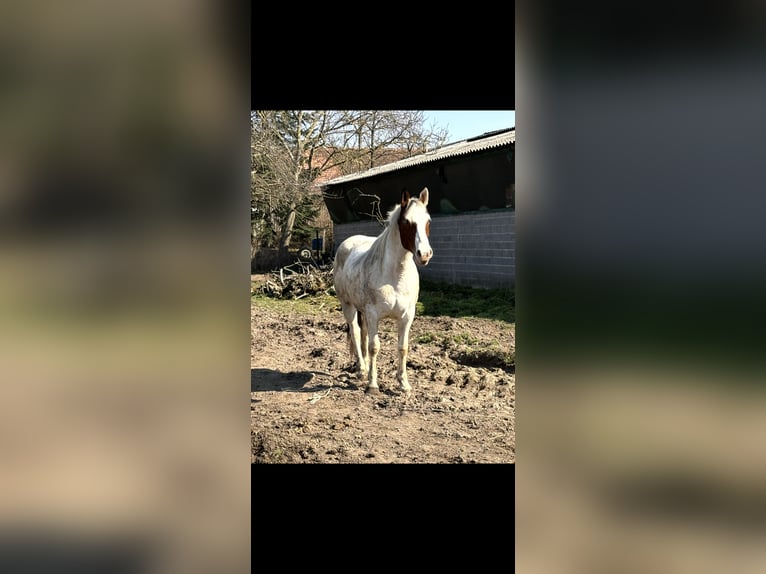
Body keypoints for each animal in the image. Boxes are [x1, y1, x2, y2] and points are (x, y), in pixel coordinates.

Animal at [333, 187, 433, 394]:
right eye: (407, 222)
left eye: (427, 221)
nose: (425, 254)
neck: (395, 277)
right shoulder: (373, 314)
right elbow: (374, 347)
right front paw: (372, 384)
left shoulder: (406, 316)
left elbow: (402, 347)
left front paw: (404, 384)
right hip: (348, 306)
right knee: (355, 332)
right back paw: (361, 369)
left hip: (361, 310)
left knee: (362, 334)